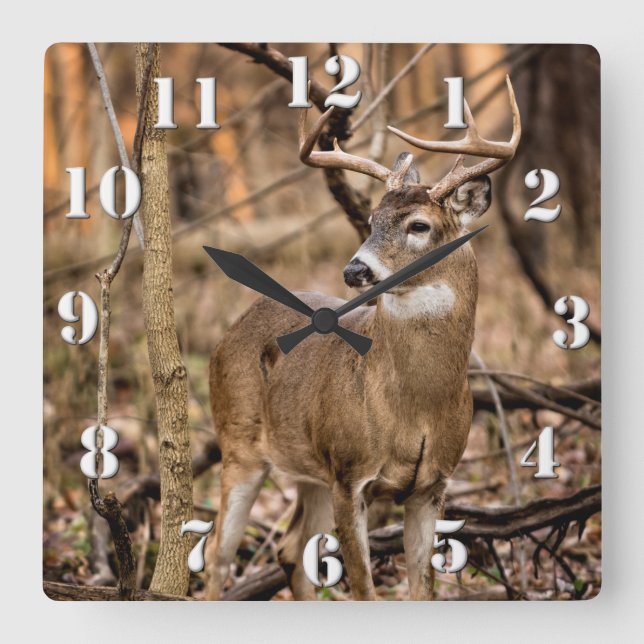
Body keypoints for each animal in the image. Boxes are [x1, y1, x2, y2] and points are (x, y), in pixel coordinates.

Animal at [204, 76, 520, 600]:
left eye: (419, 225)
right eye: (370, 221)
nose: (354, 270)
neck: (414, 410)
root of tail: (229, 331)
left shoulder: (432, 485)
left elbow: (422, 589)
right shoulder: (349, 472)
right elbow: (364, 588)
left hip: (308, 465)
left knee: (290, 547)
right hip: (240, 441)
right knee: (218, 552)